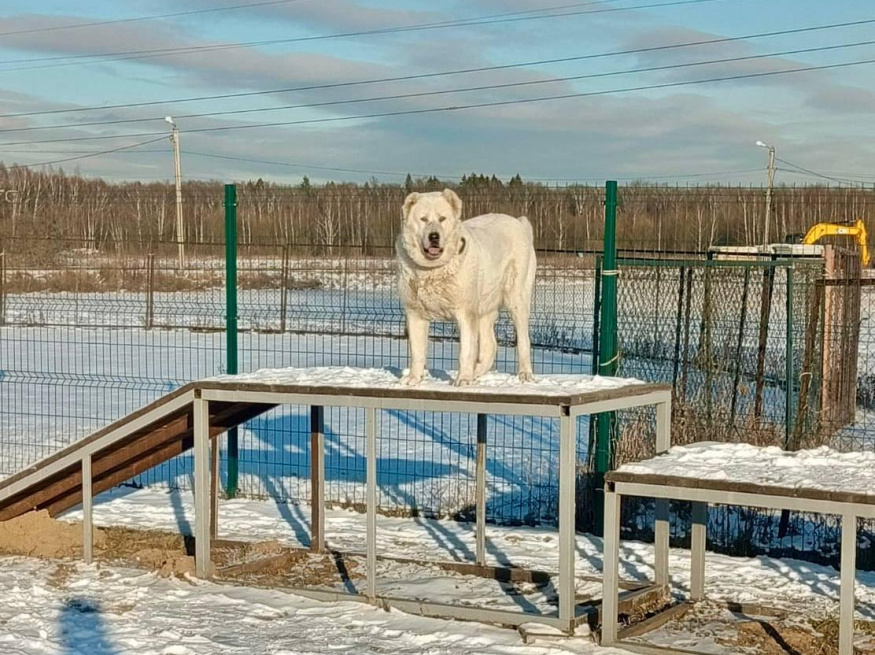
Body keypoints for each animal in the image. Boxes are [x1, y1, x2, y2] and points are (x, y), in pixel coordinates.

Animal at [396, 187, 532, 386]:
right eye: (423, 219)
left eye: (442, 219)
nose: (434, 236)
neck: (433, 270)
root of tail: (519, 222)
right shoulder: (415, 313)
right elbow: (417, 351)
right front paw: (414, 377)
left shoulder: (466, 313)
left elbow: (466, 350)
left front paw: (463, 379)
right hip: (484, 307)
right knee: (490, 346)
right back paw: (476, 372)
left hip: (516, 298)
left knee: (523, 340)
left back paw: (524, 373)